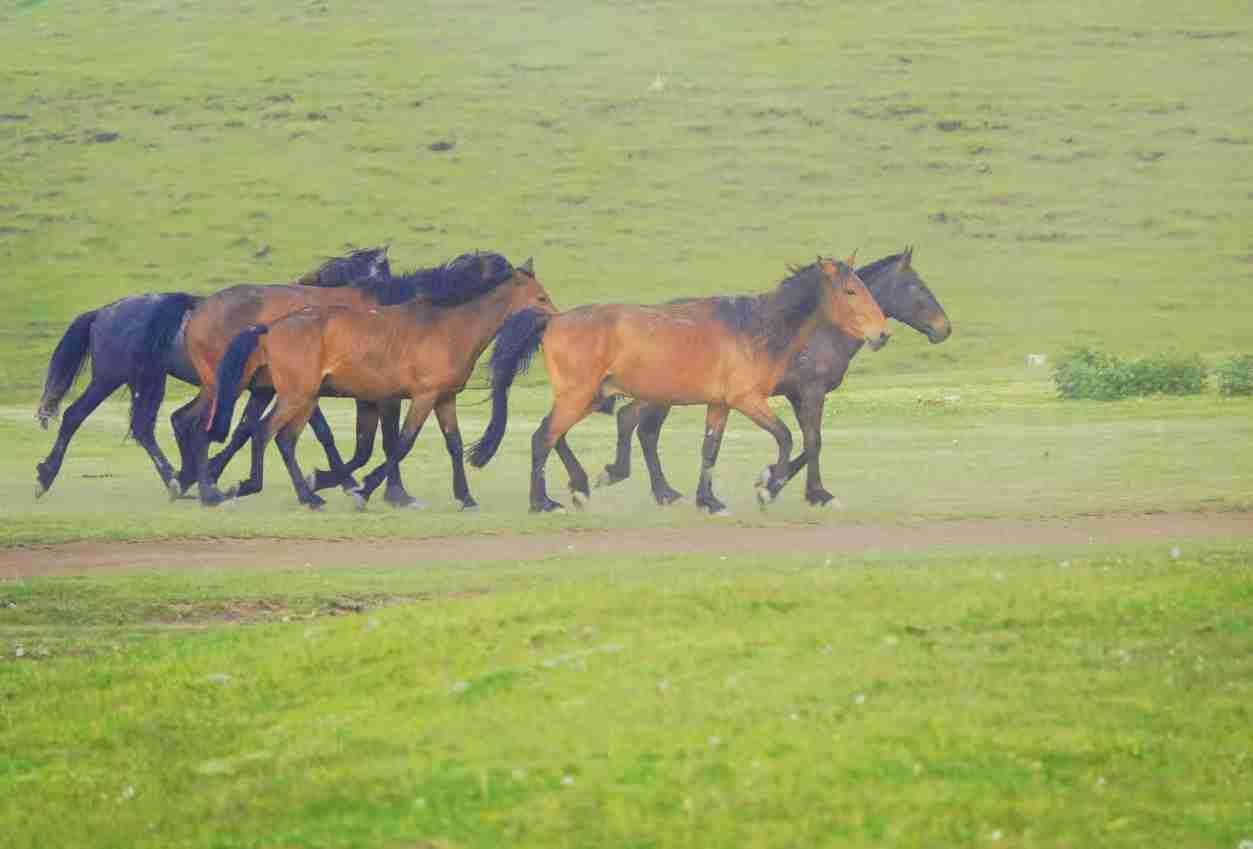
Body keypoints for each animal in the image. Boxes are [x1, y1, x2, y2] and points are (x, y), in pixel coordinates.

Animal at [33, 247, 390, 499]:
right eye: (383, 273)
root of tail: (102, 312)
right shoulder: (285, 389)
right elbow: (318, 432)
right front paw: (344, 480)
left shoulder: (267, 390)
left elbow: (245, 428)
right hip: (110, 378)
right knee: (76, 416)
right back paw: (48, 475)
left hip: (146, 381)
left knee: (147, 427)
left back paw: (177, 478)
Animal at [204, 254, 556, 510]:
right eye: (540, 297)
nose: (554, 320)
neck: (450, 326)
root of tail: (270, 328)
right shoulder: (422, 397)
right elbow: (401, 443)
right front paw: (366, 490)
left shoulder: (444, 398)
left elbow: (453, 445)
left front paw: (466, 498)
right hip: (295, 396)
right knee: (263, 432)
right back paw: (256, 486)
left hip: (306, 399)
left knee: (284, 440)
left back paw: (307, 495)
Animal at [467, 257, 890, 514]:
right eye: (851, 291)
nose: (882, 333)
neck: (756, 328)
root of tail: (551, 320)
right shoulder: (747, 399)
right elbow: (786, 436)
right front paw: (769, 485)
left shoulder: (720, 404)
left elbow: (710, 449)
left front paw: (710, 501)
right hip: (580, 396)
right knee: (544, 438)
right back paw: (543, 503)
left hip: (588, 397)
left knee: (556, 435)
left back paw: (582, 486)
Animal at [597, 247, 952, 507]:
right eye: (916, 286)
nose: (944, 329)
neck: (818, 330)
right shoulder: (808, 392)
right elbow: (812, 441)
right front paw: (795, 488)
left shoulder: (798, 395)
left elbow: (809, 441)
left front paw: (773, 480)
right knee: (639, 426)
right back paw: (656, 489)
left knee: (639, 426)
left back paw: (662, 491)